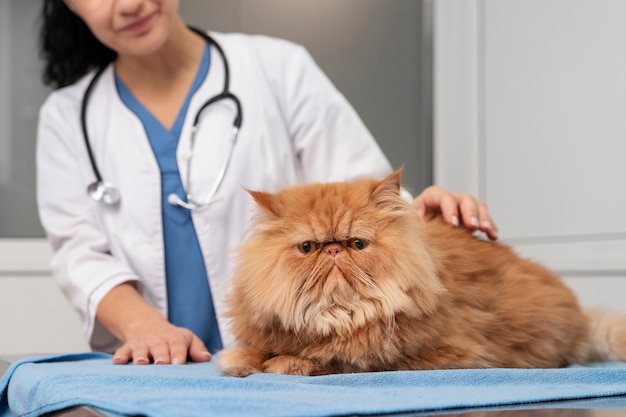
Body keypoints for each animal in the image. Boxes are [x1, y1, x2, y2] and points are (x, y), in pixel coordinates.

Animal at [214, 167, 624, 376]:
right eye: (307, 248)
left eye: (358, 244)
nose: (333, 250)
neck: (339, 315)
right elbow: (253, 351)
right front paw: (242, 361)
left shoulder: (423, 354)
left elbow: (330, 358)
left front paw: (284, 363)